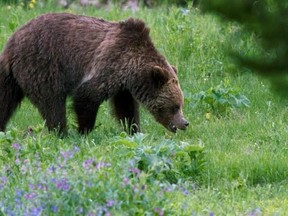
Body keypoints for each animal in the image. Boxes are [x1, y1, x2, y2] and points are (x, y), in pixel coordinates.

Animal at [0, 12, 189, 134]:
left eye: (180, 104)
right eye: (175, 106)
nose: (184, 123)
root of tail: (11, 42)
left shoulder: (123, 86)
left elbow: (126, 108)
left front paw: (134, 129)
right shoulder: (109, 64)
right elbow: (87, 95)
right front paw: (85, 130)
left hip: (13, 78)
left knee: (5, 101)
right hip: (42, 65)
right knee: (52, 102)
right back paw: (61, 132)